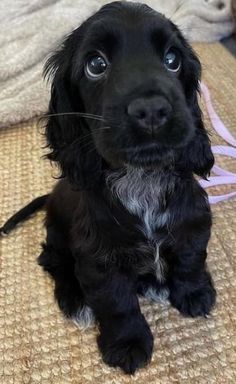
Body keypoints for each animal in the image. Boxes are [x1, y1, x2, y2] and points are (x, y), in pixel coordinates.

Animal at [1, 0, 217, 376]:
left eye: (172, 59)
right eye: (96, 65)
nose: (152, 109)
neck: (140, 178)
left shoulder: (192, 222)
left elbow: (190, 258)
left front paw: (193, 294)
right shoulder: (98, 259)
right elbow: (117, 303)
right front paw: (127, 344)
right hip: (58, 235)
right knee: (54, 262)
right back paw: (75, 301)